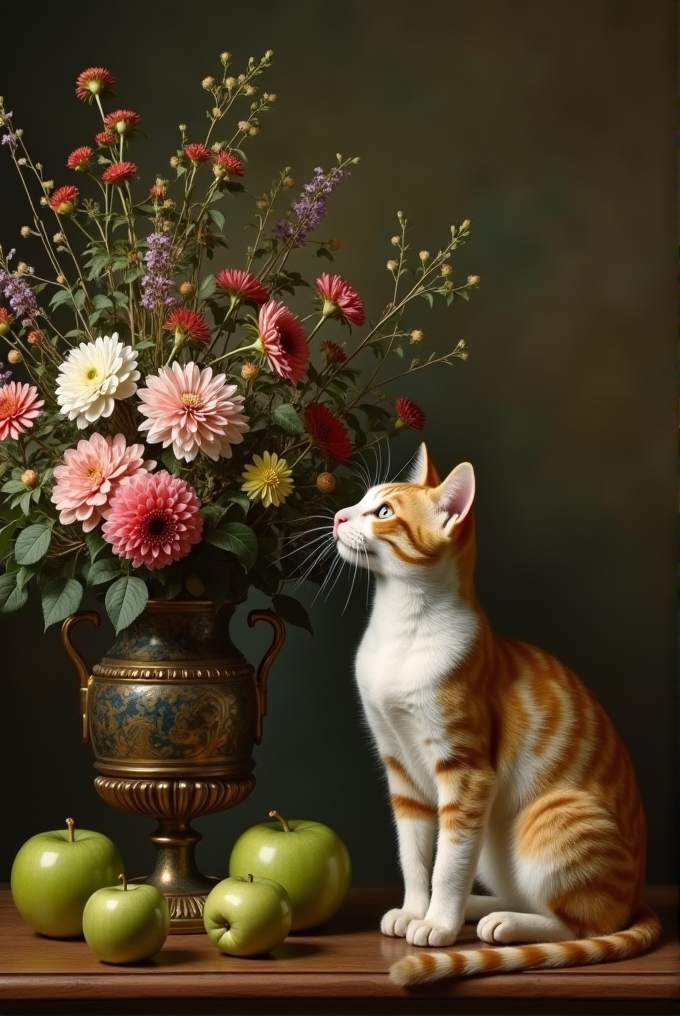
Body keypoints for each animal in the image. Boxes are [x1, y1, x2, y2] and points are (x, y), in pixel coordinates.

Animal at [333, 445, 658, 983]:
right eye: (361, 499)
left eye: (383, 512)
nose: (339, 515)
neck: (400, 625)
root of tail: (638, 898)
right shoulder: (400, 770)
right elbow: (414, 855)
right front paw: (416, 909)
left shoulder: (466, 775)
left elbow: (447, 863)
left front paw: (437, 924)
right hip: (493, 844)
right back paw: (479, 905)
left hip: (553, 817)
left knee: (586, 923)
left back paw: (504, 922)